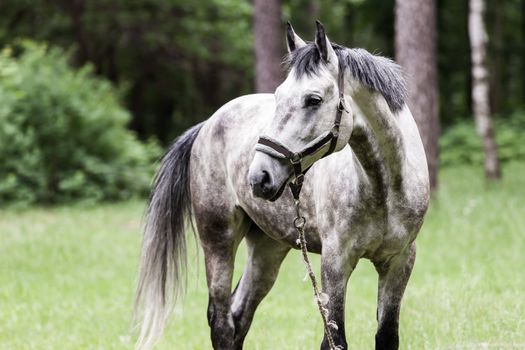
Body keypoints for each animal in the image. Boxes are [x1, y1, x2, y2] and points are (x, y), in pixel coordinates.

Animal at [133, 20, 428, 348]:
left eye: (313, 99)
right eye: (278, 96)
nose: (260, 176)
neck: (384, 187)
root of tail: (207, 124)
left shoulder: (399, 262)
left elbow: (387, 335)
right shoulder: (336, 262)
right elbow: (334, 338)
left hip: (267, 247)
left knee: (239, 315)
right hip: (218, 239)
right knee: (221, 321)